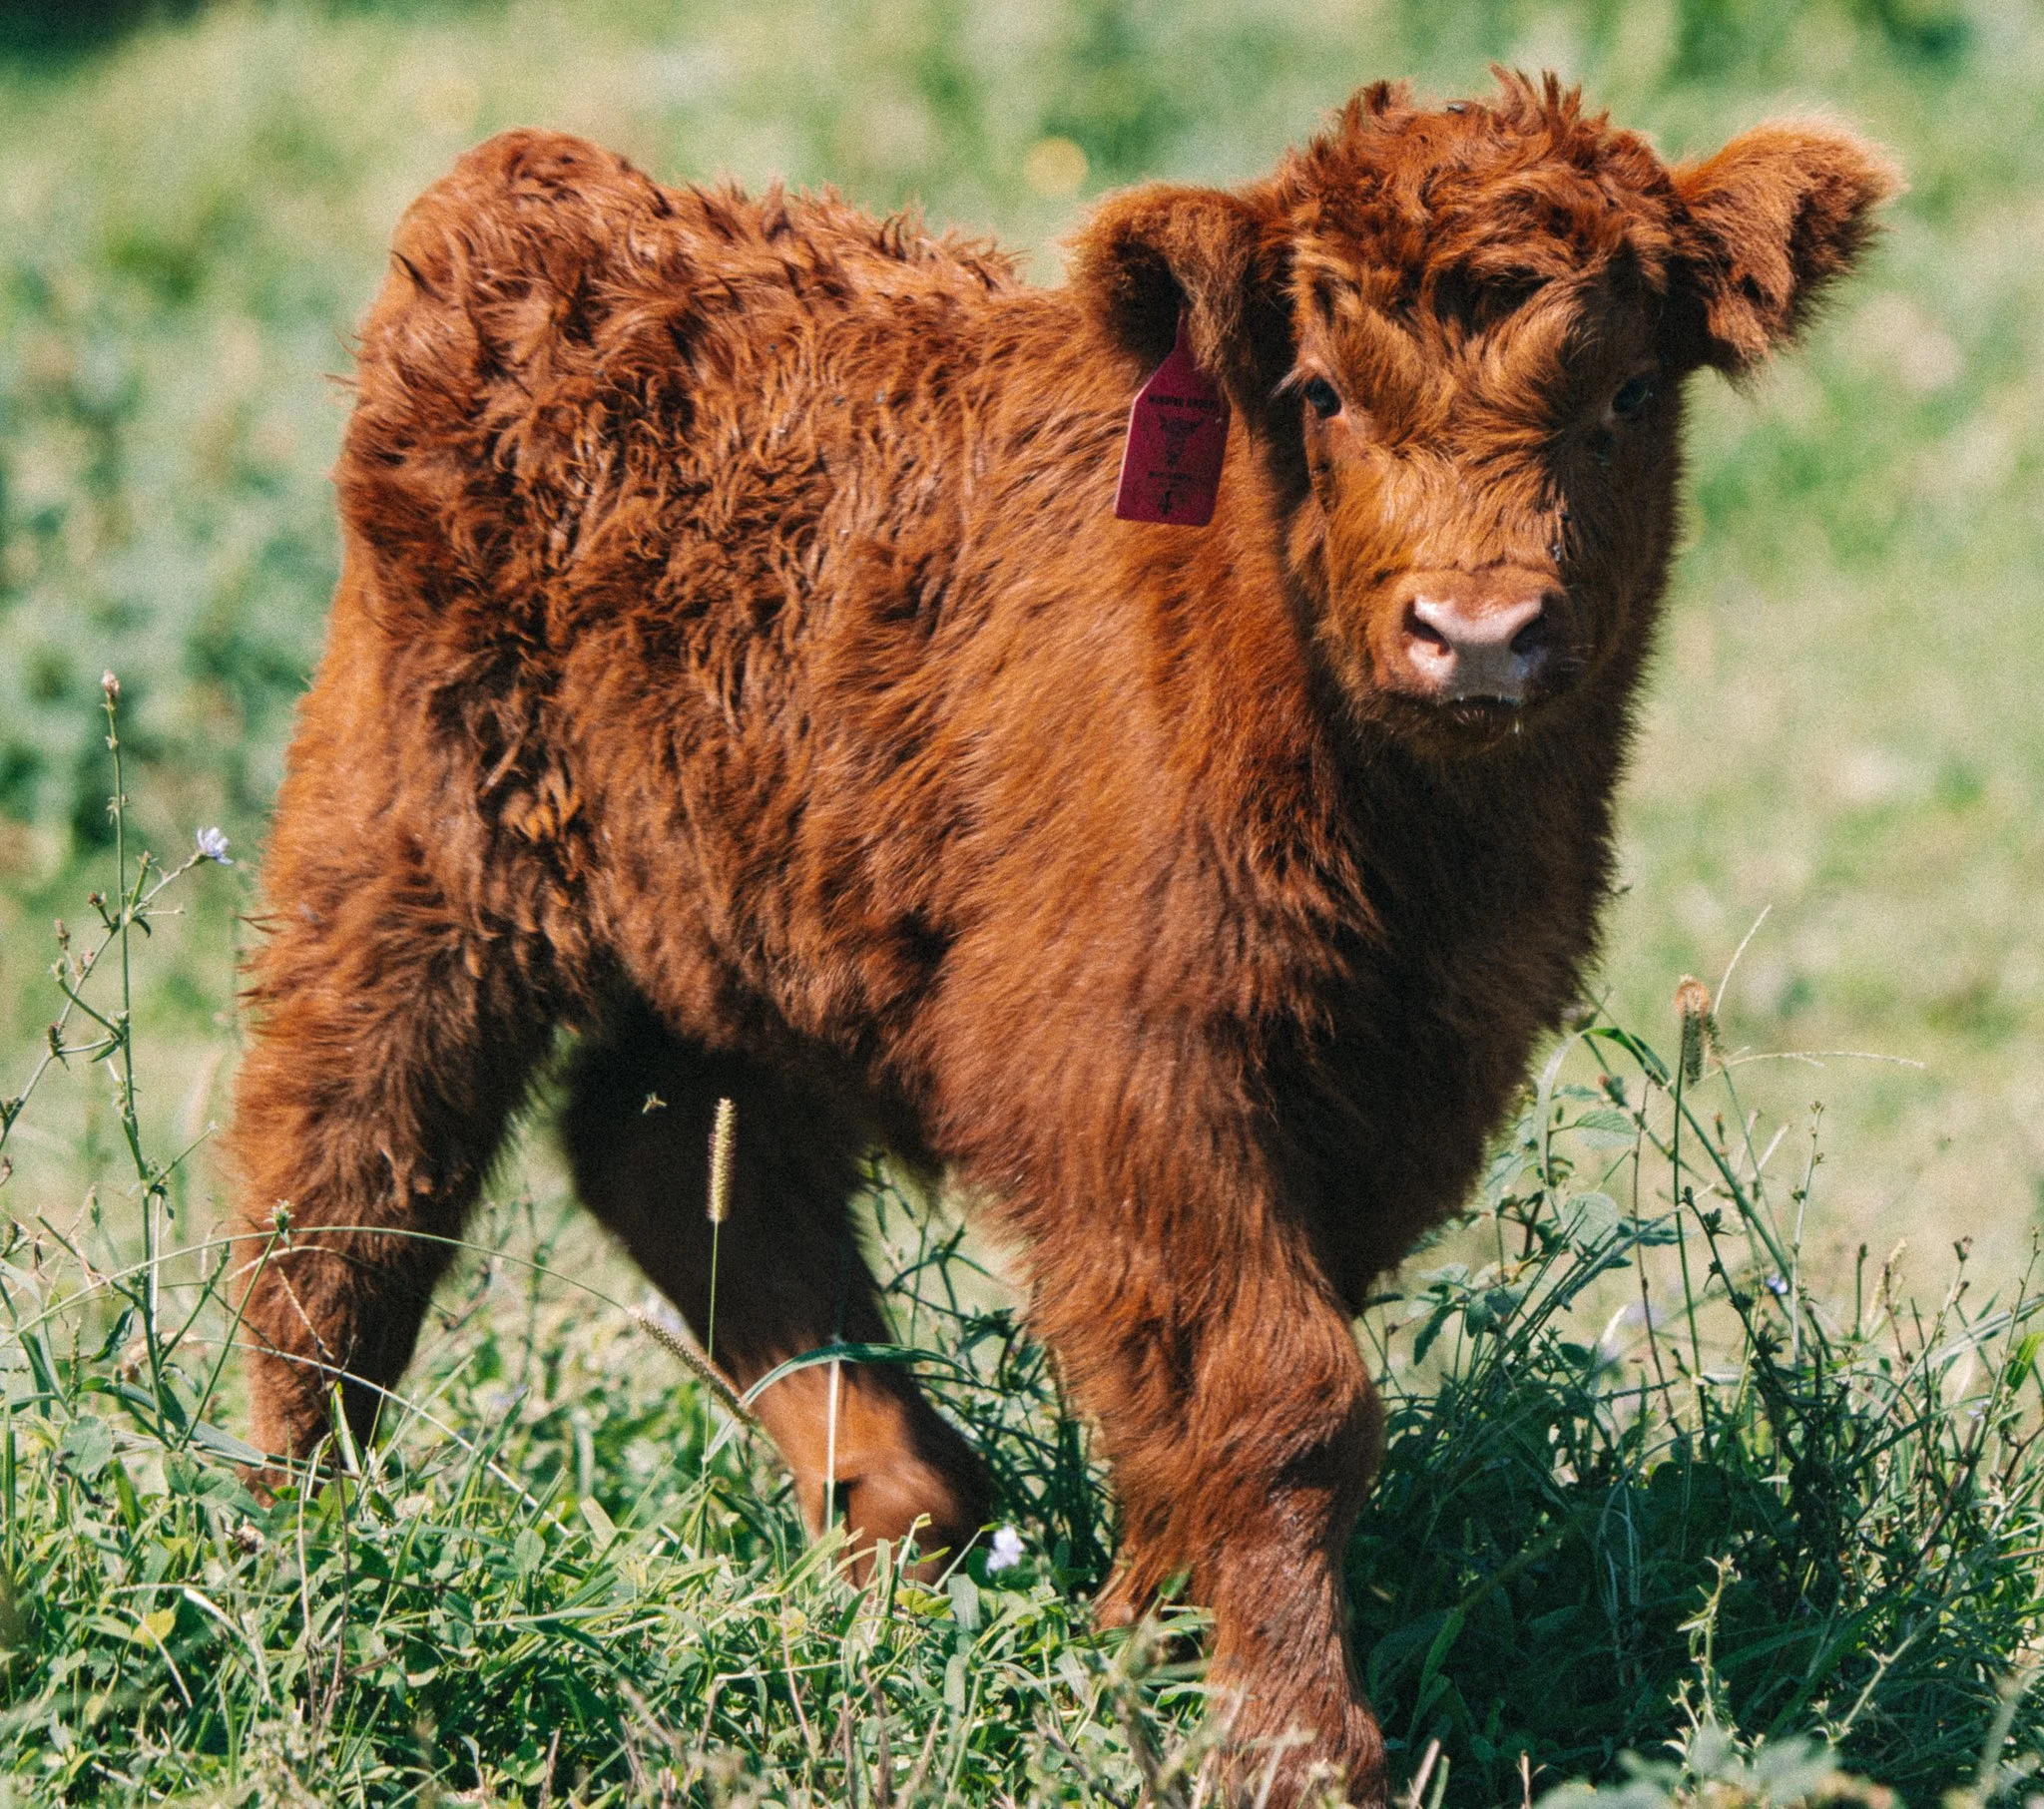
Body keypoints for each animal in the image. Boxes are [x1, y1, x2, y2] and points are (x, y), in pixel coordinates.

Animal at [225, 73, 1893, 1804]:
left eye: (1630, 389)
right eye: (1317, 390)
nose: (1481, 631)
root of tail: (554, 195)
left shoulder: (1404, 1080)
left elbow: (1209, 1387)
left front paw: (1136, 1646)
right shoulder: (1120, 1064)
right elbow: (1283, 1391)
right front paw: (1288, 1744)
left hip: (748, 912)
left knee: (678, 1150)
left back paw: (902, 1522)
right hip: (405, 858)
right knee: (341, 1189)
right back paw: (301, 1570)